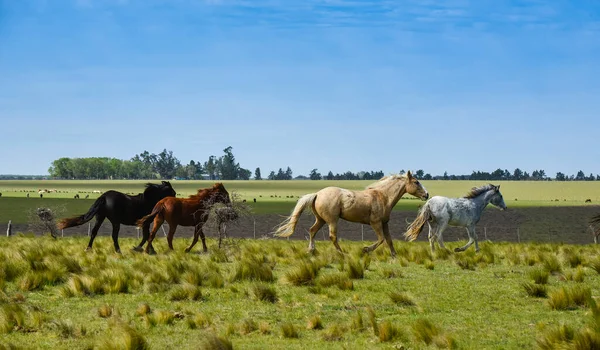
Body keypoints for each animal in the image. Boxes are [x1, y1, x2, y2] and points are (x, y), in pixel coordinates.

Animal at [274, 171, 428, 258]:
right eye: (416, 182)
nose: (426, 195)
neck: (383, 196)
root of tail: (317, 194)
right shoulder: (375, 223)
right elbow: (381, 239)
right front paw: (365, 250)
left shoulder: (385, 223)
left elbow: (389, 240)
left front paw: (394, 256)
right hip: (332, 220)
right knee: (332, 236)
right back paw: (342, 254)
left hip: (321, 220)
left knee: (312, 231)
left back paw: (311, 251)